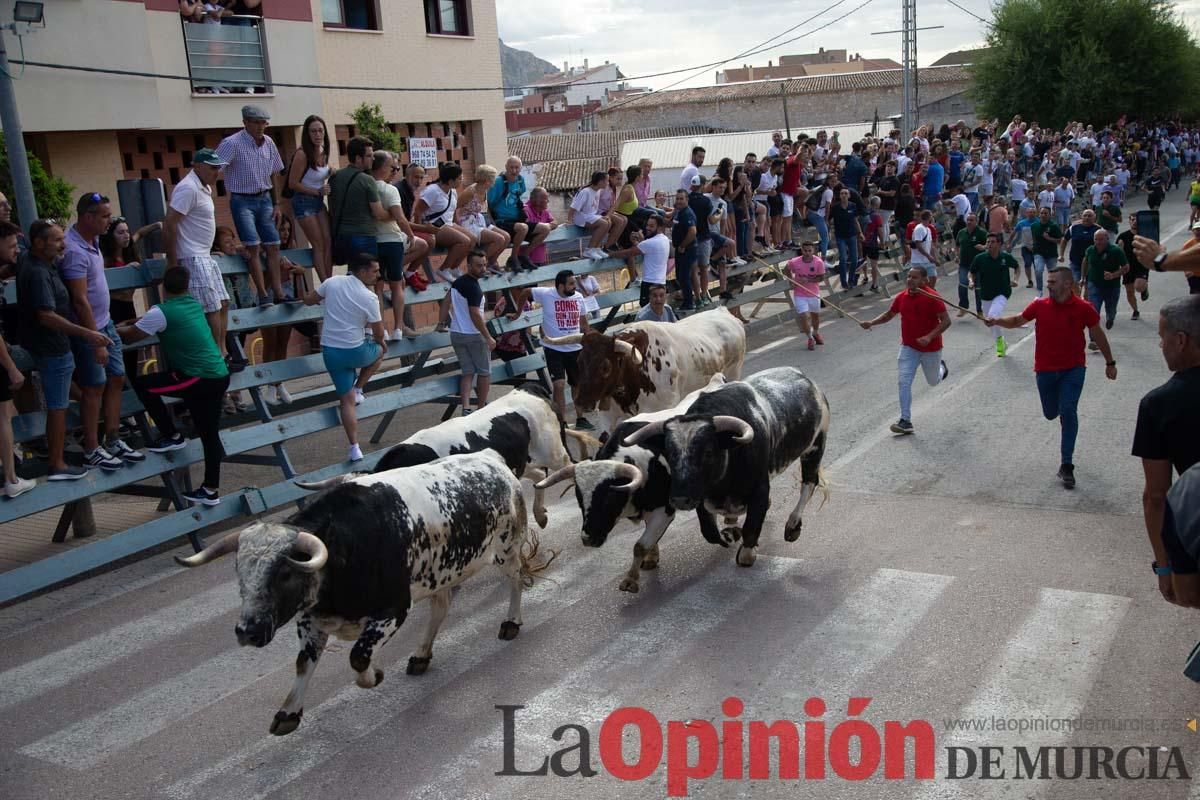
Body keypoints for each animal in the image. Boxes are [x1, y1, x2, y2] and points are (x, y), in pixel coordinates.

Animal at [174, 450, 544, 738]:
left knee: (515, 581)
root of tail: (491, 459)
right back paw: (422, 654)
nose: (247, 631)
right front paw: (288, 713)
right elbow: (303, 663)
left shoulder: (392, 610)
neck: (343, 547)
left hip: (505, 549)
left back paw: (511, 622)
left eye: (284, 573)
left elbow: (358, 658)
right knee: (441, 606)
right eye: (240, 571)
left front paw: (375, 675)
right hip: (441, 574)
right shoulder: (311, 620)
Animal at [537, 371, 724, 592]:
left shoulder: (664, 511)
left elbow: (639, 545)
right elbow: (648, 542)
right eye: (579, 499)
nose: (588, 538)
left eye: (609, 497)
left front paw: (631, 579)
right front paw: (651, 559)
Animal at [549, 307, 744, 434]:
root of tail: (723, 311)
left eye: (605, 367)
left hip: (735, 371)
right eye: (579, 361)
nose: (581, 402)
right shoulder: (607, 415)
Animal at [624, 367, 830, 568]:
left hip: (814, 448)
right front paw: (731, 534)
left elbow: (751, 527)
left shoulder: (760, 488)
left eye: (708, 452)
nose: (680, 500)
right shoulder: (702, 497)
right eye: (668, 452)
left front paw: (746, 551)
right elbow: (710, 532)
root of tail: (806, 380)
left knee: (809, 484)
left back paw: (793, 526)